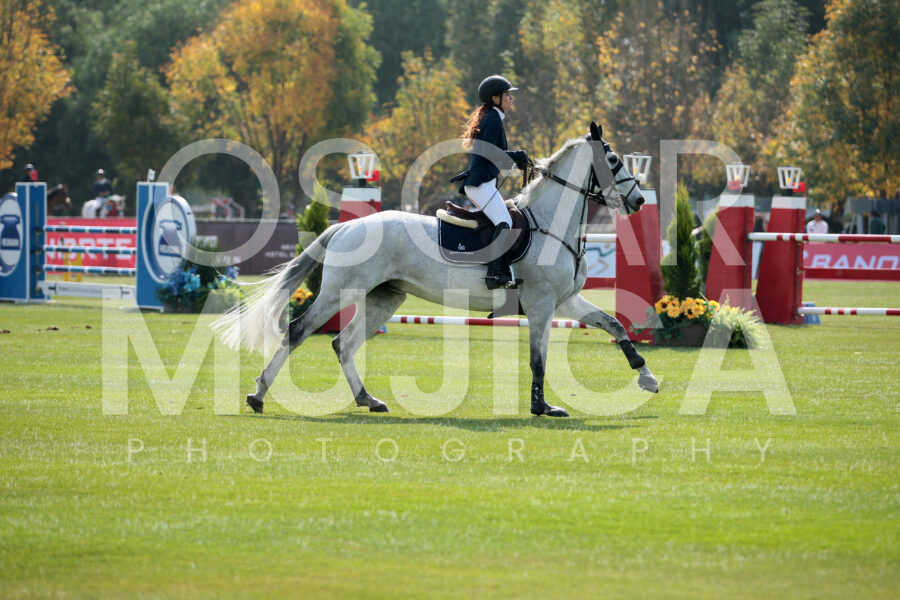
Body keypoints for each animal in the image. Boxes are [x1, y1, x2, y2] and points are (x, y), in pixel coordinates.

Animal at [212, 121, 659, 417]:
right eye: (614, 159)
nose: (638, 201)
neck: (550, 221)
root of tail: (346, 227)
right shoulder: (541, 304)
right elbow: (538, 359)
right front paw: (543, 407)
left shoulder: (564, 301)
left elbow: (613, 324)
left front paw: (646, 376)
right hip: (342, 292)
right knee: (298, 331)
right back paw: (258, 395)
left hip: (385, 298)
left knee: (344, 343)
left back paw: (368, 400)